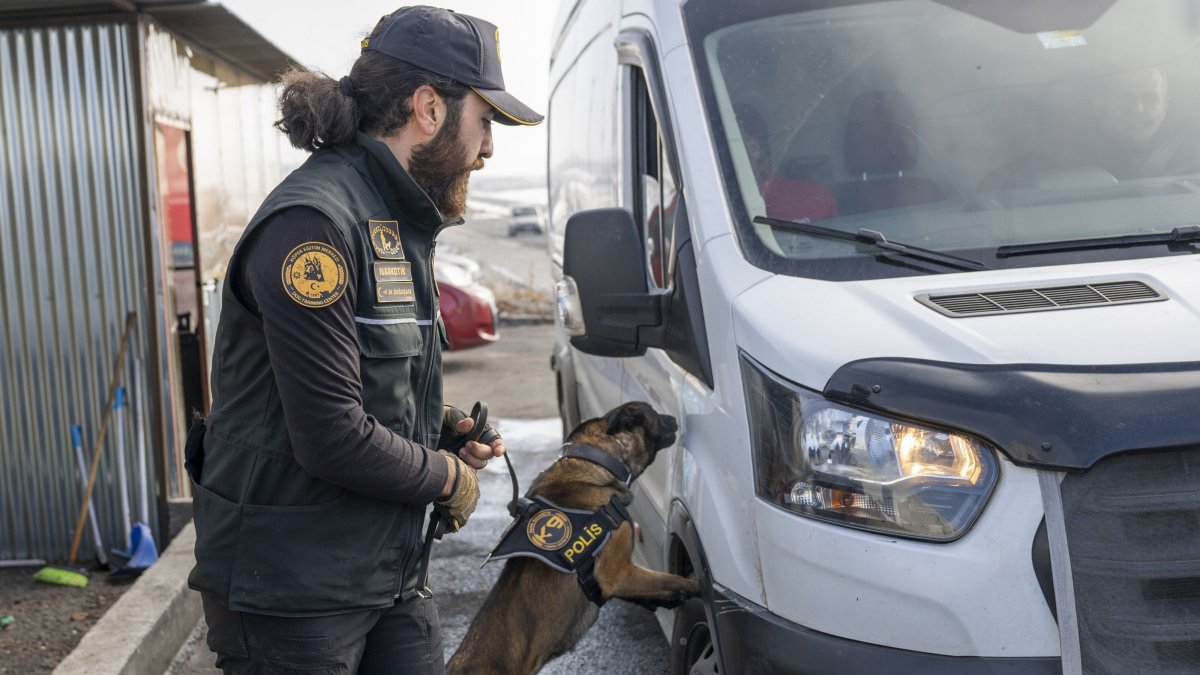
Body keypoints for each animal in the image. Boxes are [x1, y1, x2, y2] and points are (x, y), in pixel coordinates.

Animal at [446, 401, 700, 667]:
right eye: (654, 414)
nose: (675, 419)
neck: (594, 462)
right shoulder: (619, 573)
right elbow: (674, 580)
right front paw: (696, 588)